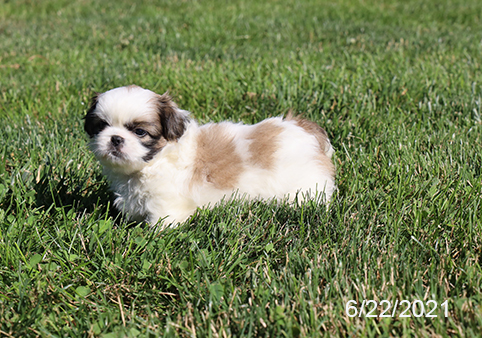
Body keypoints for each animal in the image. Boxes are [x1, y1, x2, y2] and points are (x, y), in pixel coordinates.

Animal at [84, 84, 336, 228]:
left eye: (139, 132)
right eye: (102, 126)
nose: (115, 138)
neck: (153, 163)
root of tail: (304, 127)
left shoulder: (167, 202)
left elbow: (162, 221)